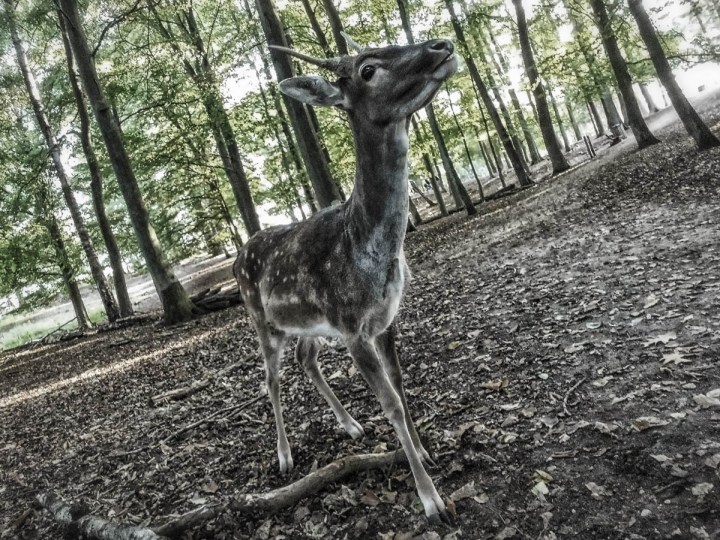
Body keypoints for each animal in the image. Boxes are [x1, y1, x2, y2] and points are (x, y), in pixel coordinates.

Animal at [233, 37, 457, 524]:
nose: (443, 45)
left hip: (309, 325)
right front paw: (431, 501)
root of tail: (238, 253)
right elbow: (390, 404)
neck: (366, 248)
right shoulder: (352, 328)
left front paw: (424, 452)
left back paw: (350, 425)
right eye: (367, 69)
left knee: (306, 359)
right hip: (261, 319)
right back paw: (284, 457)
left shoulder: (385, 320)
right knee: (270, 379)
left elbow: (400, 387)